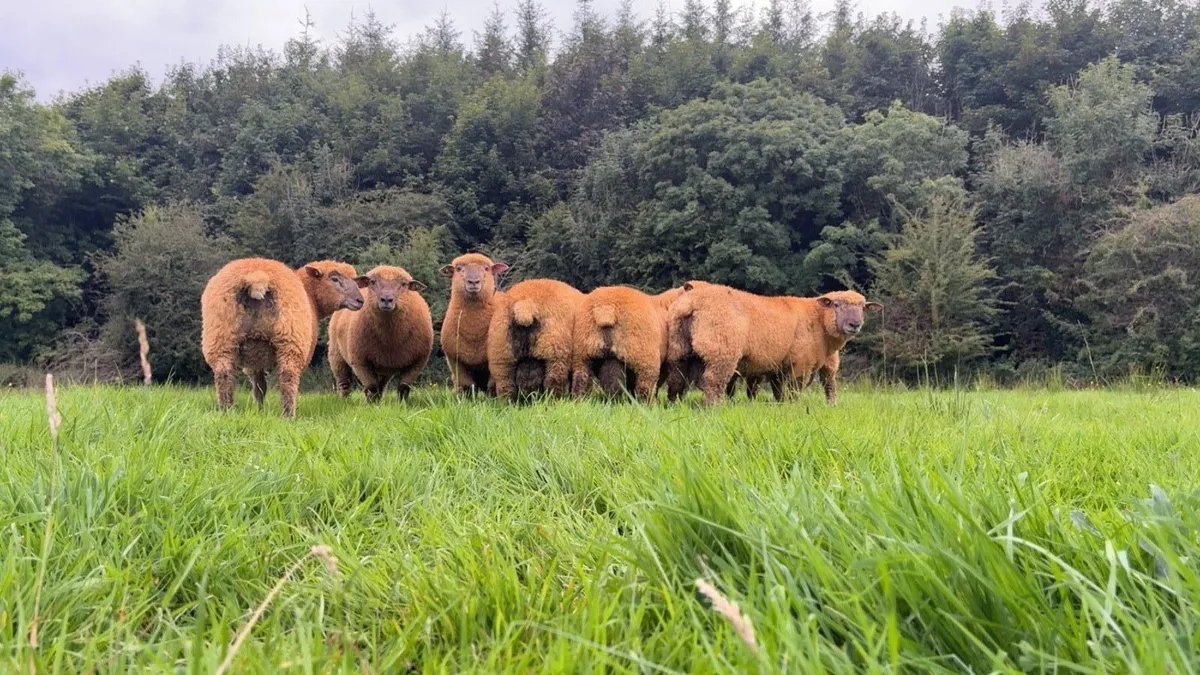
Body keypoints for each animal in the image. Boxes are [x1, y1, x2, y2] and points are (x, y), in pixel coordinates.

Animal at [201, 258, 364, 417]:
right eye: (334, 279)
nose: (360, 300)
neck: (311, 298)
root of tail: (256, 278)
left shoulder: (254, 358)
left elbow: (259, 387)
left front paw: (259, 411)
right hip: (290, 338)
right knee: (288, 376)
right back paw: (288, 415)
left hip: (221, 337)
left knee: (224, 374)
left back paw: (226, 411)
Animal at [328, 265, 434, 403]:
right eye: (372, 282)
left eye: (404, 284)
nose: (386, 300)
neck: (390, 339)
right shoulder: (360, 361)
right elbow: (371, 387)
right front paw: (372, 406)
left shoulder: (417, 363)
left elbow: (403, 388)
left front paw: (402, 404)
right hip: (337, 356)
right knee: (344, 384)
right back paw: (344, 401)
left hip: (383, 368)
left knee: (381, 386)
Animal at [439, 253, 509, 395]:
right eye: (458, 269)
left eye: (486, 268)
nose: (473, 282)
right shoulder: (455, 360)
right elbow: (467, 385)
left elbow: (492, 386)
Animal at [665, 285, 880, 405]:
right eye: (836, 305)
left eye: (863, 308)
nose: (855, 324)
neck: (818, 320)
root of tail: (691, 304)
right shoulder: (800, 364)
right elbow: (794, 390)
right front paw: (794, 408)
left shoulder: (780, 366)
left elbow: (780, 390)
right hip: (721, 350)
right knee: (712, 382)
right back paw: (715, 408)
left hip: (679, 350)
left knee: (677, 380)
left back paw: (674, 406)